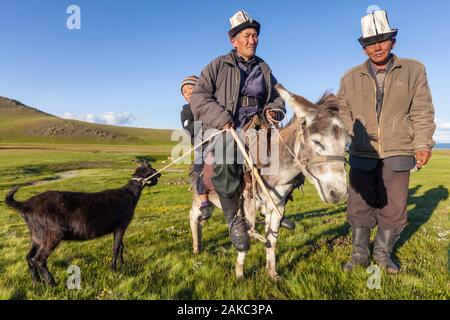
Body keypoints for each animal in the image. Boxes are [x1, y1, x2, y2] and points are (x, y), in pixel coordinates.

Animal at [4, 164, 160, 286]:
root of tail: (26, 205)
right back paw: (52, 283)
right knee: (39, 259)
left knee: (29, 257)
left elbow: (121, 246)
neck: (129, 195)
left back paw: (36, 281)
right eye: (151, 170)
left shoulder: (118, 228)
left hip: (37, 235)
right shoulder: (121, 225)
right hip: (52, 234)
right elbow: (116, 248)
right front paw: (113, 269)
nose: (160, 174)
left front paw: (122, 264)